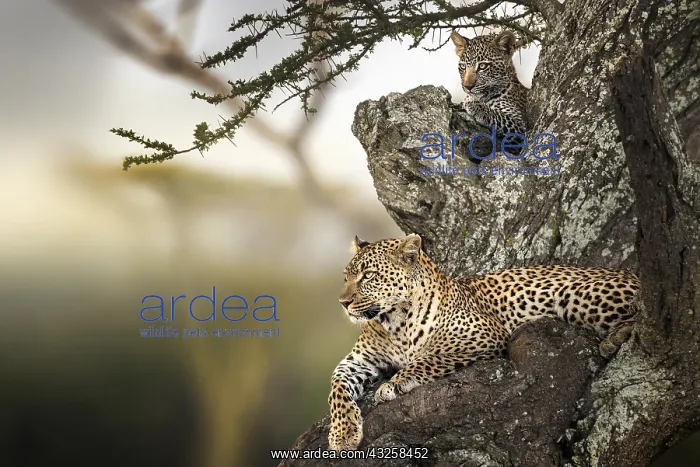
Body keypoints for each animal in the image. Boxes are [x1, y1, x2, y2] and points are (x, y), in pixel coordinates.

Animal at [327, 234, 641, 452]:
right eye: (346, 277)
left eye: (368, 276)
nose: (342, 303)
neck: (394, 323)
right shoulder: (358, 361)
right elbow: (336, 387)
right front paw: (342, 434)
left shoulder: (482, 333)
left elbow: (429, 357)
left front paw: (395, 382)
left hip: (575, 293)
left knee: (643, 310)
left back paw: (614, 339)